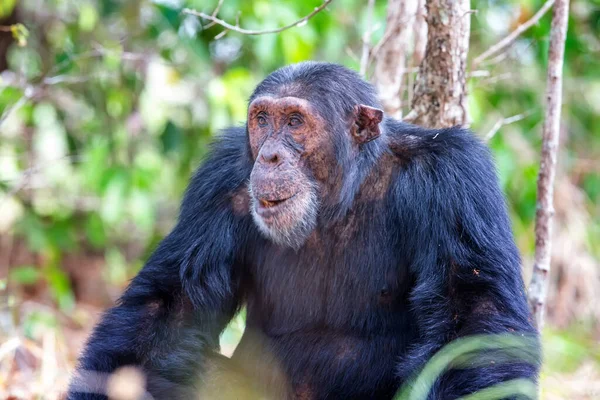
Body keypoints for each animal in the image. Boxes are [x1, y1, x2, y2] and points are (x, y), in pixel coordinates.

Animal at [68, 62, 540, 400]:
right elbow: (170, 305)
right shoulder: (217, 181)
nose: (270, 156)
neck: (337, 195)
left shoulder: (455, 180)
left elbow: (473, 315)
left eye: (295, 121)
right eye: (262, 119)